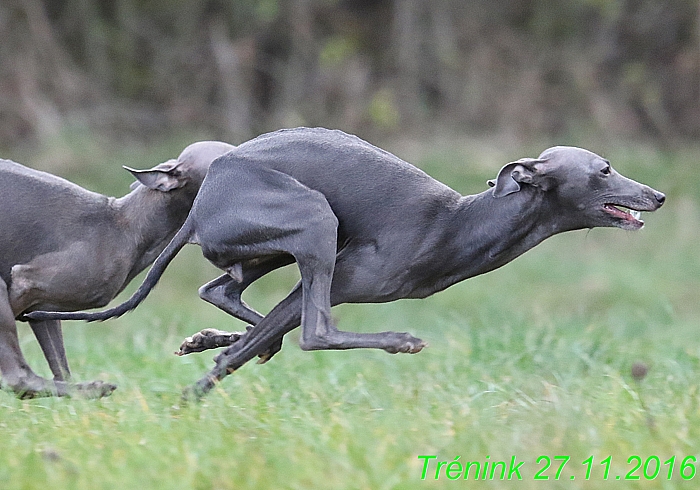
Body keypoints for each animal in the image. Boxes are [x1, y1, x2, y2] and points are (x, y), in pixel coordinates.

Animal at [1, 139, 234, 398]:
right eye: (228, 154)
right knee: (19, 377)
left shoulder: (43, 309)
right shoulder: (26, 282)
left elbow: (61, 369)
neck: (125, 227)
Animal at [28, 127, 668, 398]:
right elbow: (284, 336)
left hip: (277, 249)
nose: (659, 196)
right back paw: (399, 341)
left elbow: (241, 349)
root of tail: (205, 192)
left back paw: (214, 340)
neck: (457, 222)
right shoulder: (343, 280)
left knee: (226, 292)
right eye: (605, 168)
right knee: (312, 332)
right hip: (315, 220)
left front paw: (194, 387)